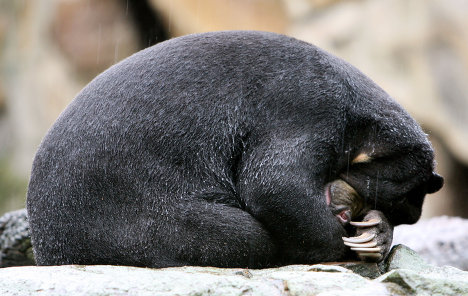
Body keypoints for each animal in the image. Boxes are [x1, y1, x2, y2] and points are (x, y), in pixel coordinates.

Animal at [25, 30, 442, 268]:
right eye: (367, 190)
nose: (344, 212)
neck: (362, 125)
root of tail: (51, 250)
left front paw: (372, 234)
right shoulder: (306, 108)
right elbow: (274, 184)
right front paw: (344, 243)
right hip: (143, 218)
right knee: (244, 235)